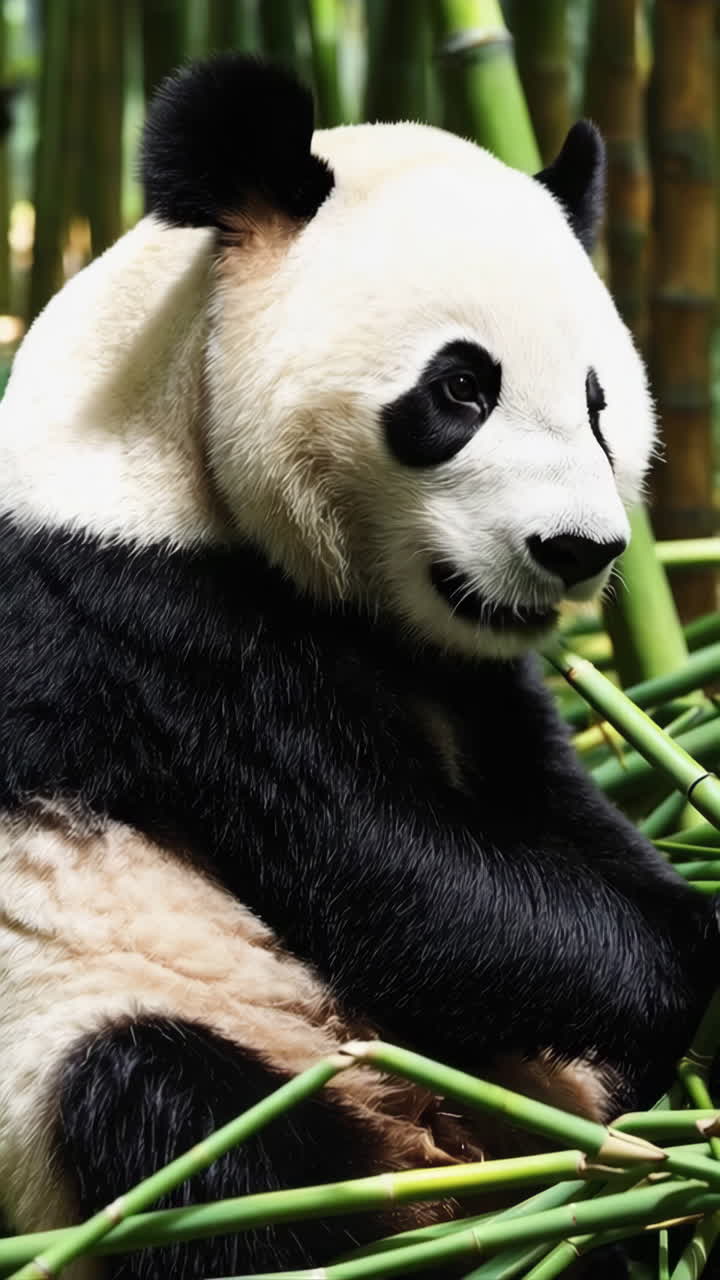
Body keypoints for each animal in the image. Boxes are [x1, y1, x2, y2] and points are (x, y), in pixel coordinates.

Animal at [0, 51, 717, 1280]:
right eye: (461, 387)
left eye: (599, 401)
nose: (577, 549)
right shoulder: (150, 636)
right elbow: (402, 881)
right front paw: (688, 968)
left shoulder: (475, 673)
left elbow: (546, 812)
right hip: (85, 1034)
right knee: (166, 1115)